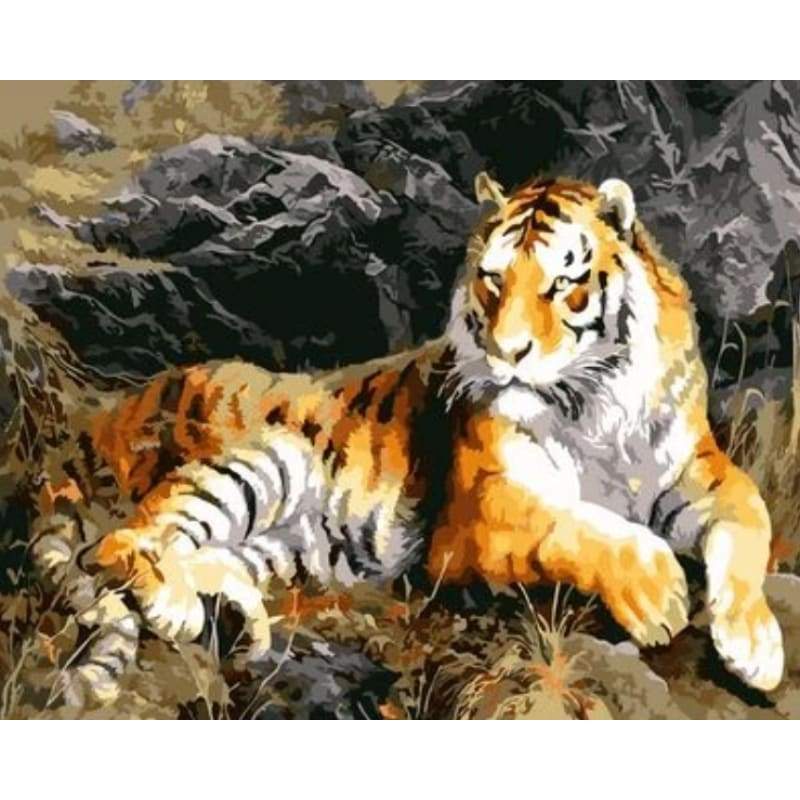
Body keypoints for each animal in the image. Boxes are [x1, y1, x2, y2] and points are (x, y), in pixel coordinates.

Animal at [30, 172, 784, 706]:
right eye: (492, 280)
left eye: (561, 284)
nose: (508, 353)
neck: (595, 406)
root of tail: (102, 417)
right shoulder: (480, 511)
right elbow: (582, 526)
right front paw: (660, 596)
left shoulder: (695, 469)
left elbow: (751, 516)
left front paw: (754, 644)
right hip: (264, 460)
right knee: (124, 539)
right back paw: (177, 607)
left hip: (285, 548)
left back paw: (243, 620)